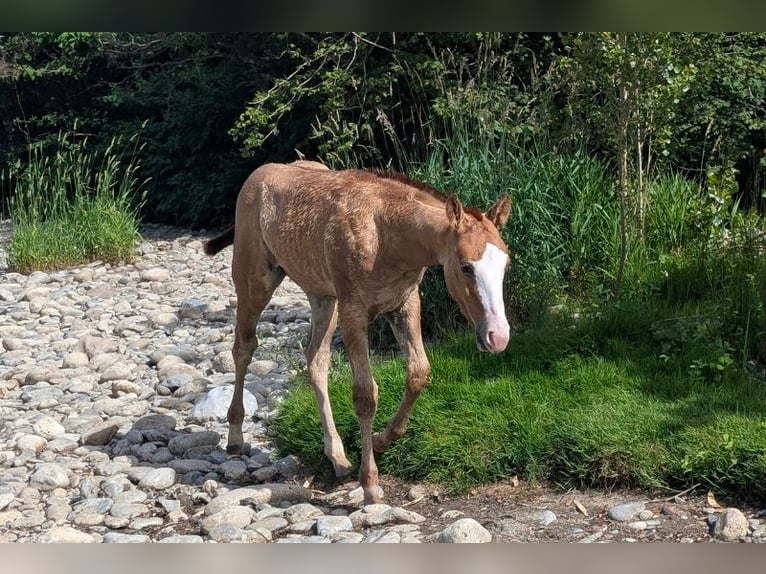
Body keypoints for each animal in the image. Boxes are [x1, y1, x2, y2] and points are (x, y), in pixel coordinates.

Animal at [204, 160, 512, 505]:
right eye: (465, 267)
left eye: (506, 265)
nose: (498, 336)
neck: (388, 235)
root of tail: (258, 175)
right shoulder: (354, 311)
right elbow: (365, 395)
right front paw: (371, 485)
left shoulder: (404, 303)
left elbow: (418, 373)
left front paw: (380, 440)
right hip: (255, 282)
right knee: (243, 348)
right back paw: (234, 436)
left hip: (323, 295)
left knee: (315, 359)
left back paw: (338, 457)